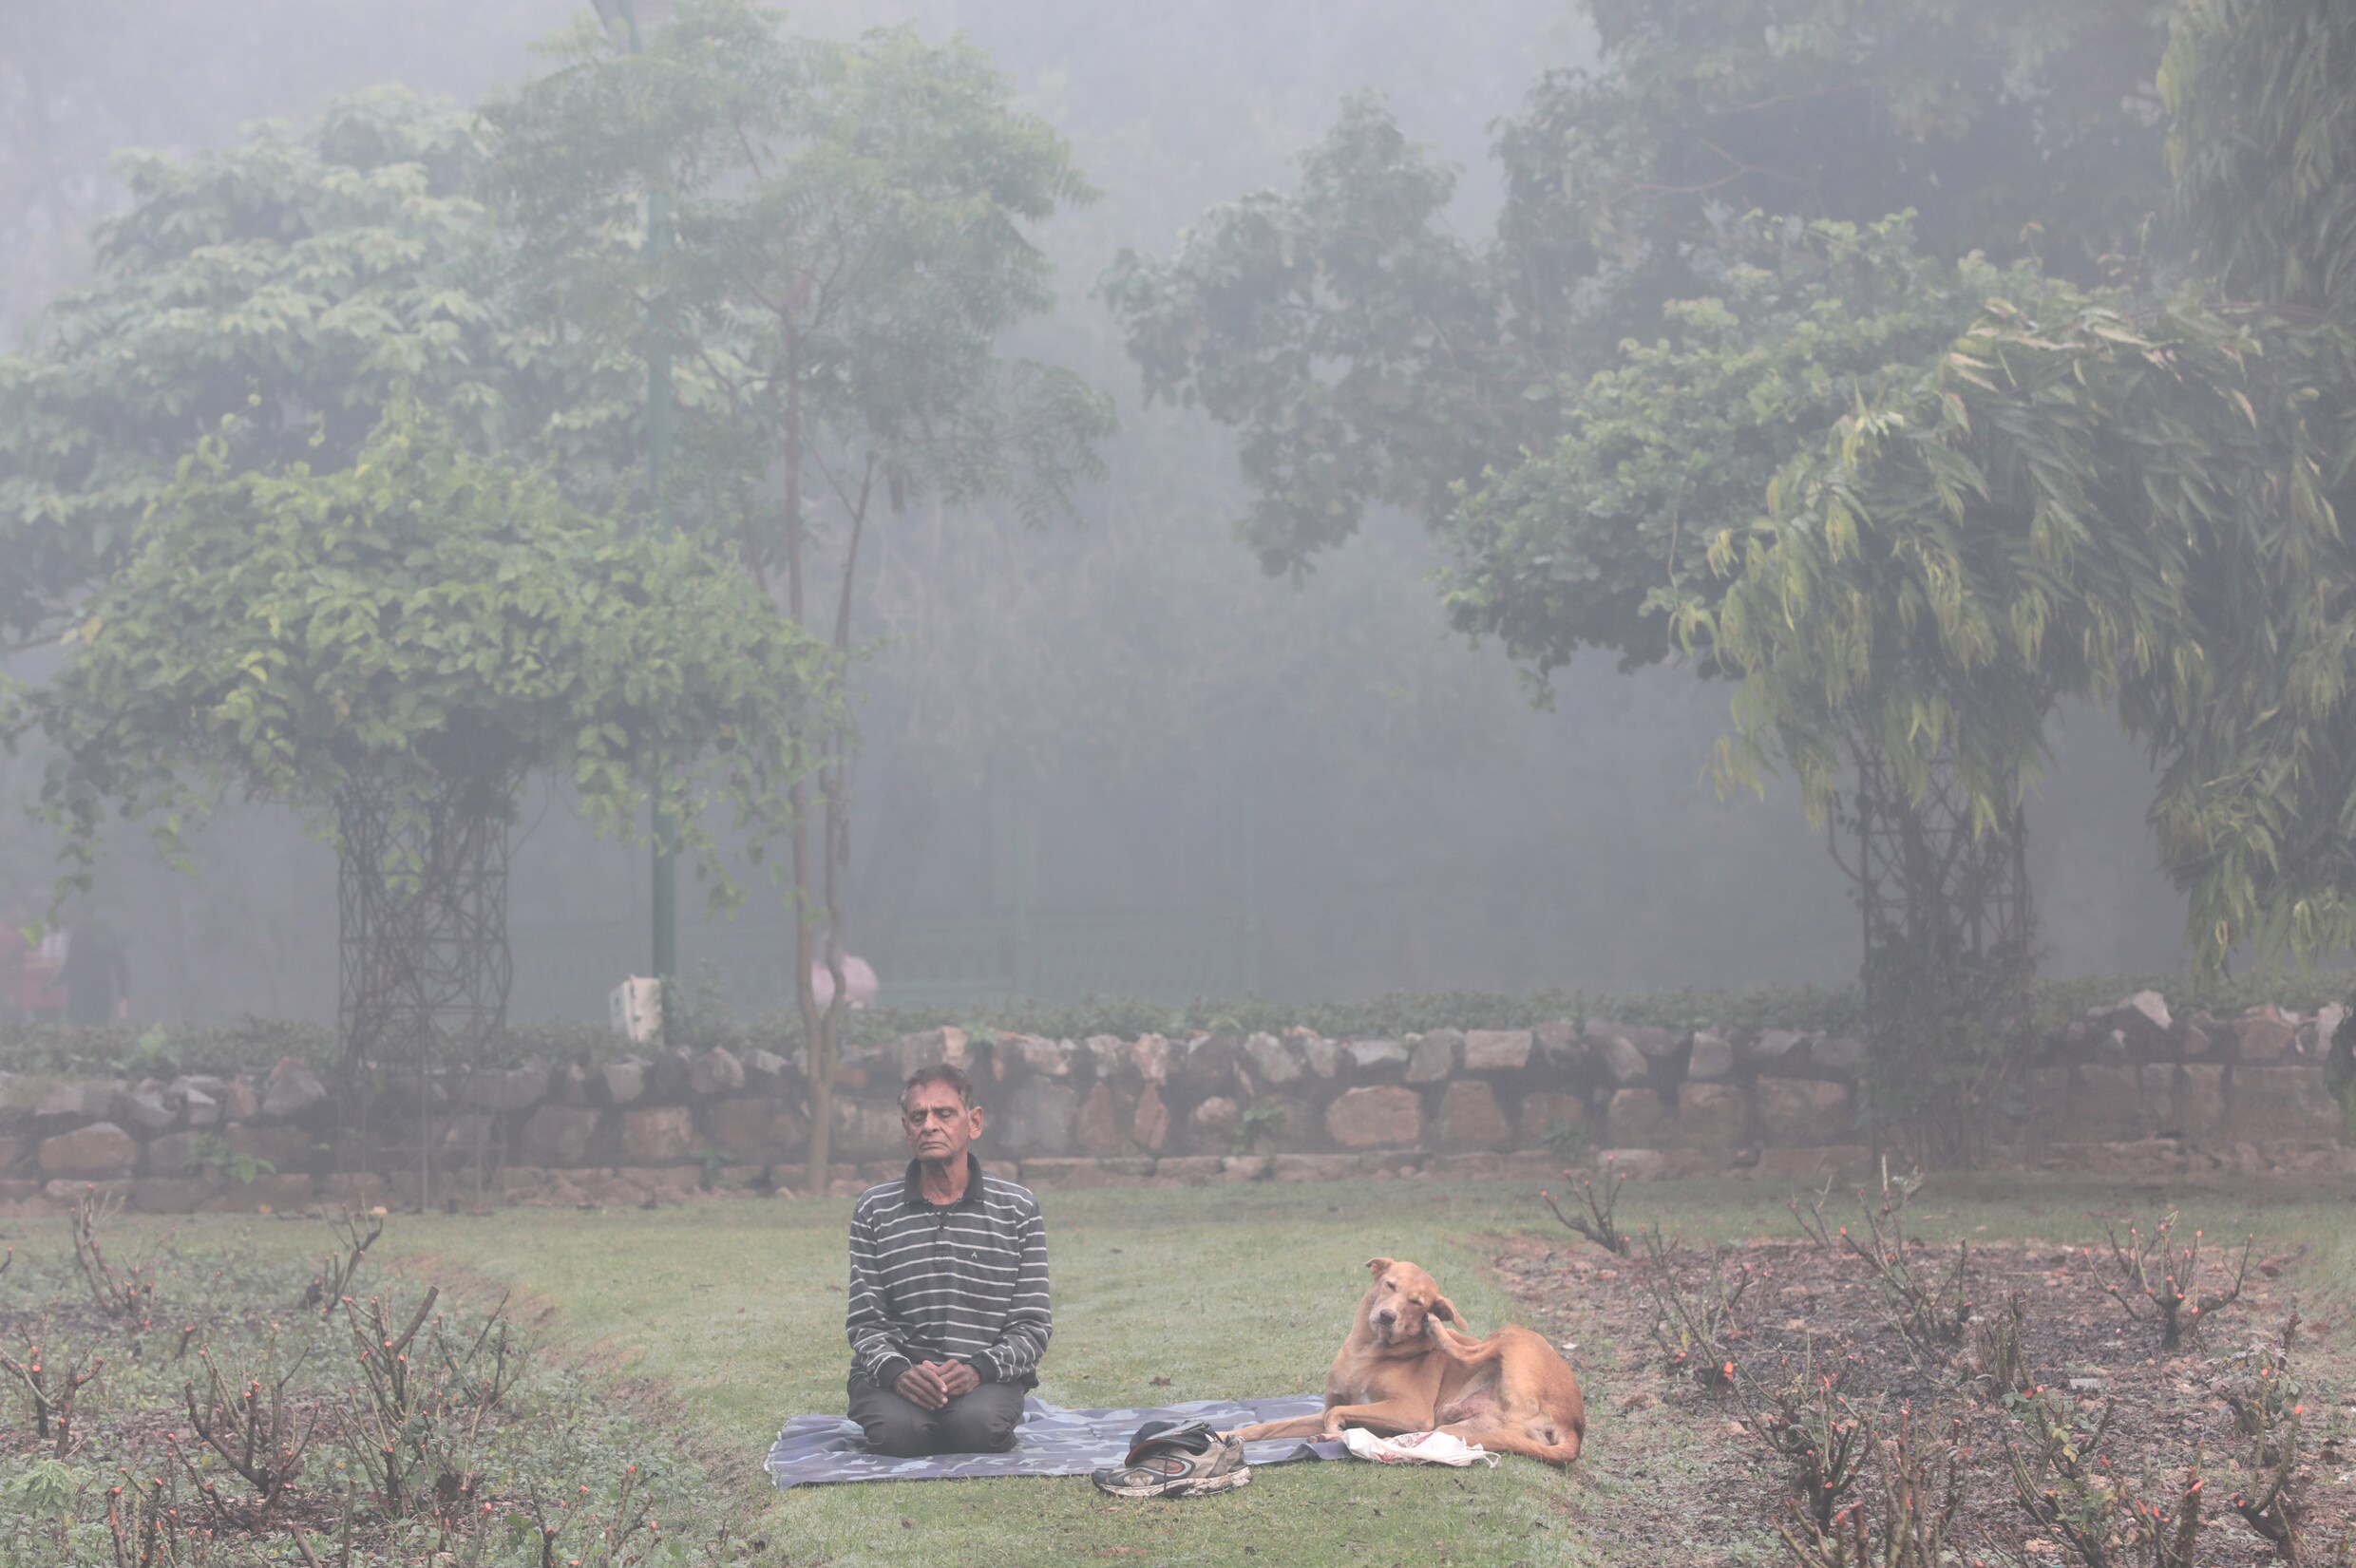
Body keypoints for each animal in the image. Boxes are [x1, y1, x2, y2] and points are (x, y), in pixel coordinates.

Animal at [1234, 1252, 1583, 1459]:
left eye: (1416, 1302)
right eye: (1390, 1285)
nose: (1387, 1316)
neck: (1366, 1353)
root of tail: (1573, 1422)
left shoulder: (1409, 1410)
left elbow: (1340, 1412)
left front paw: (1336, 1429)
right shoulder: (1325, 1407)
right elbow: (1267, 1427)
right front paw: (1230, 1433)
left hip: (1514, 1336)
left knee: (1468, 1350)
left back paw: (1439, 1332)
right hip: (1457, 1429)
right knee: (1401, 1442)